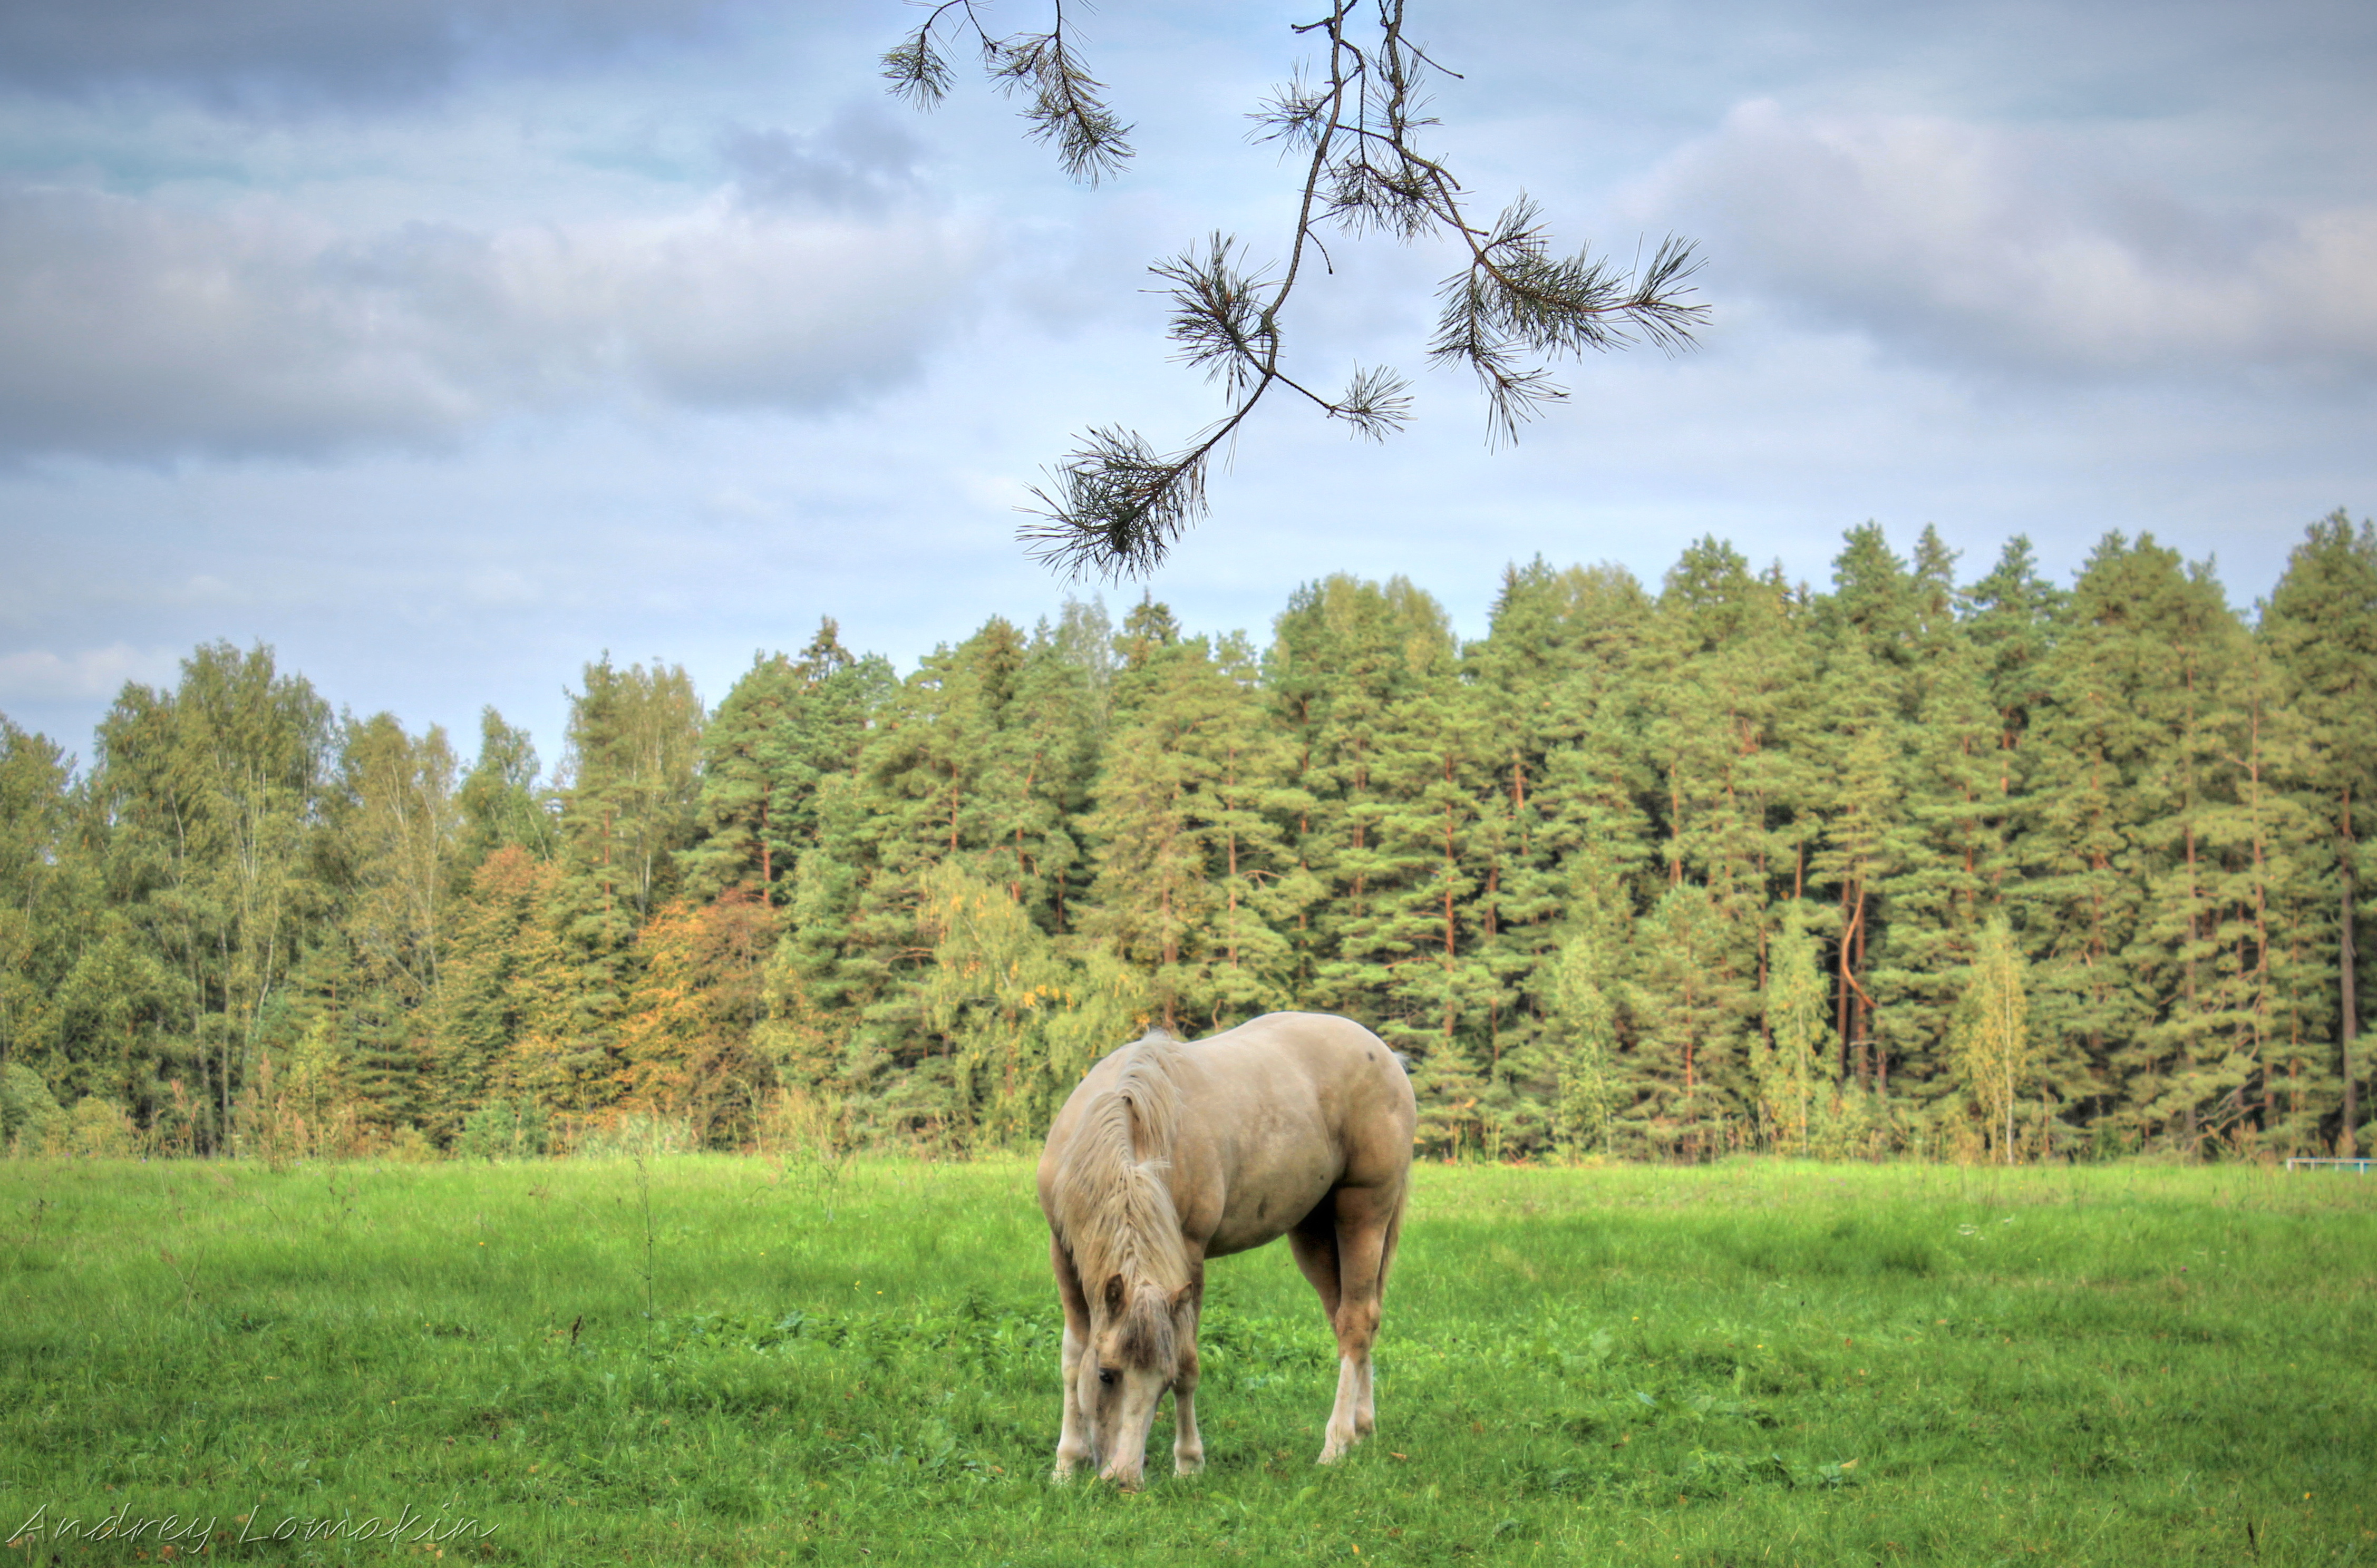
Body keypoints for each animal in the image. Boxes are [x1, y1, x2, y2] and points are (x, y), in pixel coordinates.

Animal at [1036, 1012, 1407, 1492]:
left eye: (1163, 1382)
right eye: (1106, 1374)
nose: (1124, 1478)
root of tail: (1383, 1052)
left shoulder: (1189, 1258)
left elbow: (1189, 1362)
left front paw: (1189, 1463)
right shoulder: (1064, 1252)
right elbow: (1071, 1356)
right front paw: (1065, 1464)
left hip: (1363, 1214)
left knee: (1357, 1323)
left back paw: (1336, 1443)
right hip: (1314, 1234)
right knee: (1349, 1320)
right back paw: (1362, 1427)